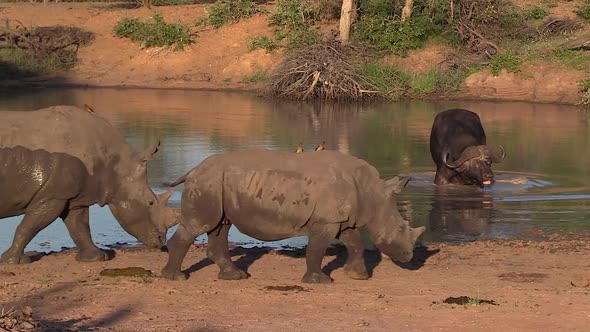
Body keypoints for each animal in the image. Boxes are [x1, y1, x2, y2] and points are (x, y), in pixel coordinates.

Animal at [0, 105, 178, 264]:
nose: (161, 240)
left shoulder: (75, 195)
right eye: (150, 202)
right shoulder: (53, 195)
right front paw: (12, 261)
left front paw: (96, 258)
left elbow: (79, 226)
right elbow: (30, 225)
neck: (117, 164)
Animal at [162, 150, 426, 282]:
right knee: (199, 225)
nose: (409, 258)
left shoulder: (343, 220)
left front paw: (359, 276)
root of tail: (193, 169)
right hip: (208, 182)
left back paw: (235, 277)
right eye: (400, 229)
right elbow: (317, 248)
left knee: (220, 226)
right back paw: (175, 278)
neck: (373, 192)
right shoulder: (326, 221)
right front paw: (319, 281)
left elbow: (355, 244)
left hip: (217, 184)